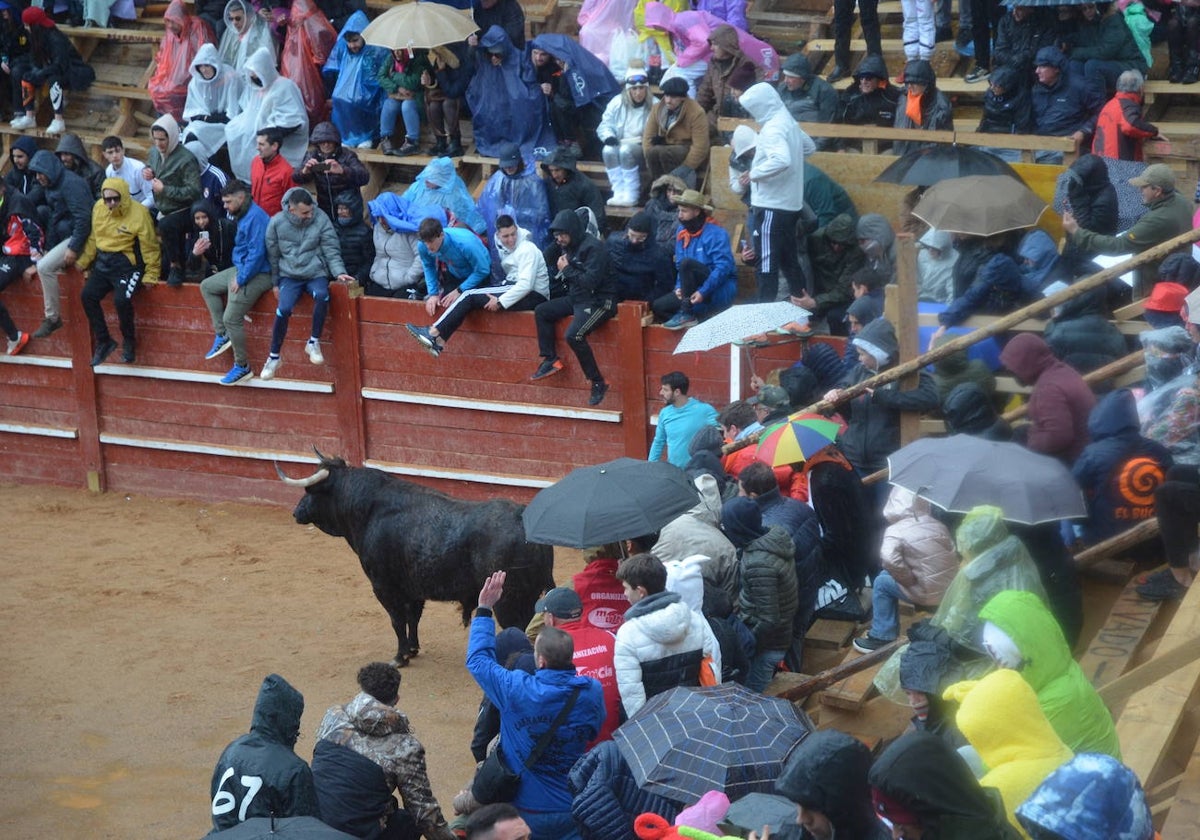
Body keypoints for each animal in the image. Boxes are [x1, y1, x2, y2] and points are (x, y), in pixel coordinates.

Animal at [280, 456, 556, 667]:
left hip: (508, 600)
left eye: (310, 491)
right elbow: (413, 617)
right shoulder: (413, 588)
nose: (296, 512)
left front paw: (399, 657)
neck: (368, 510)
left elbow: (396, 620)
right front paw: (412, 649)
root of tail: (523, 518)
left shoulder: (383, 586)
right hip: (528, 595)